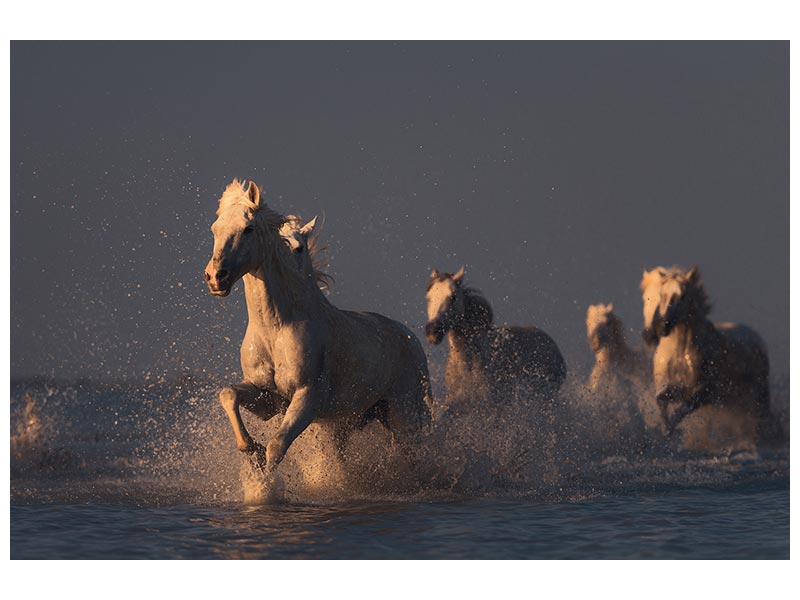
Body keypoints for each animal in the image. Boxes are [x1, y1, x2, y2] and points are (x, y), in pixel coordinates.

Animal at [203, 180, 434, 480]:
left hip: (405, 414)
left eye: (248, 228)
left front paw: (264, 483)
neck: (276, 328)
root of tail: (411, 338)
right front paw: (251, 450)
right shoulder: (267, 397)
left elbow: (277, 445)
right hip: (347, 422)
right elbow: (228, 394)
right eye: (215, 228)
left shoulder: (307, 397)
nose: (215, 277)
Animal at [640, 264, 772, 448]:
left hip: (758, 396)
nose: (660, 327)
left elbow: (684, 407)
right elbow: (661, 399)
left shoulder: (703, 393)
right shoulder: (675, 388)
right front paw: (665, 430)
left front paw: (670, 430)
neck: (680, 353)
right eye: (662, 295)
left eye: (682, 296)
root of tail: (755, 336)